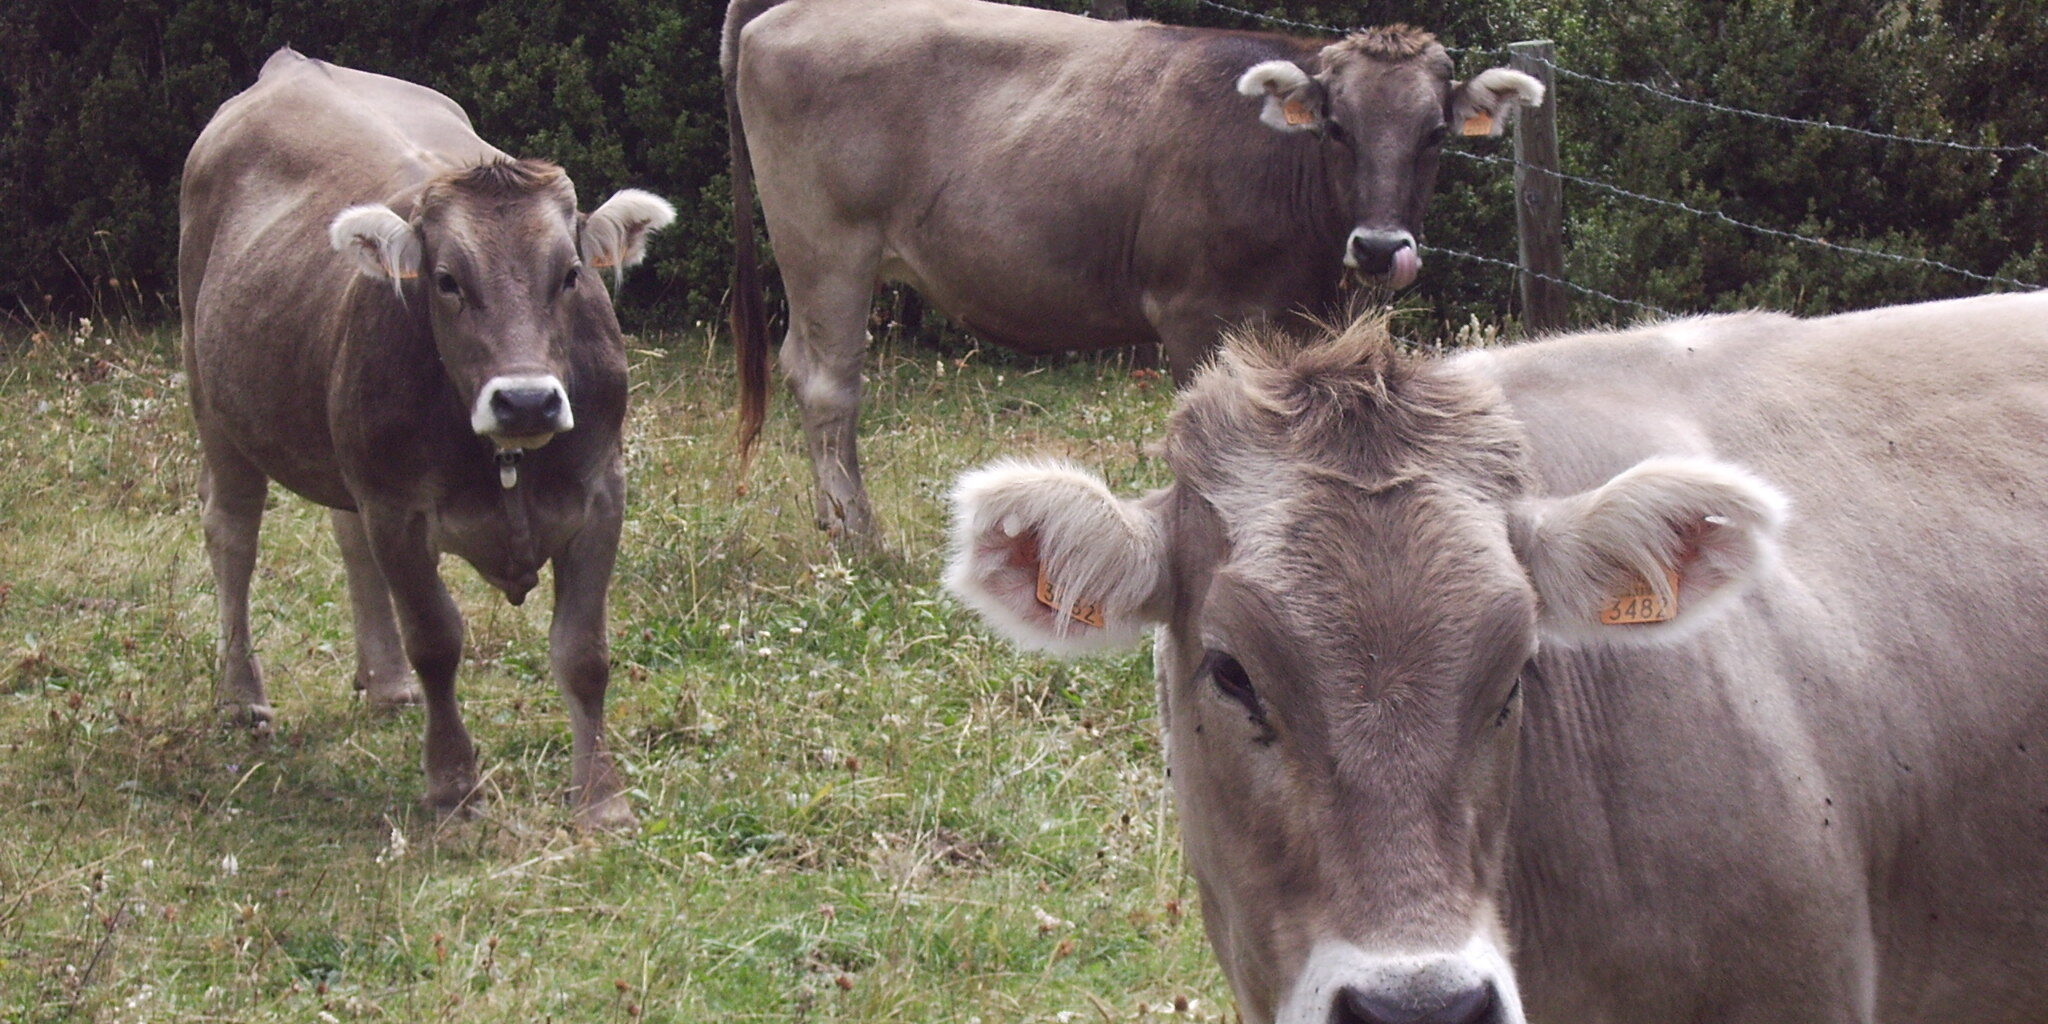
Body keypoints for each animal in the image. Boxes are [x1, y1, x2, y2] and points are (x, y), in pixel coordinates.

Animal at [179, 48, 674, 829]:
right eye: (446, 280)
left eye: (569, 275)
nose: (526, 399)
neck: (505, 461)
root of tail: (290, 65)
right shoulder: (399, 510)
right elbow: (437, 642)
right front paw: (452, 786)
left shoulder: (602, 494)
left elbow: (584, 653)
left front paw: (601, 799)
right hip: (215, 401)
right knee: (232, 533)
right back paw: (242, 696)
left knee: (346, 537)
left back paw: (384, 680)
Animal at [723, 0, 1543, 541]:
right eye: (1336, 128)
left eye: (1435, 134)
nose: (1377, 247)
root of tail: (789, 9)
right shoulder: (1196, 313)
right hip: (826, 243)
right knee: (828, 383)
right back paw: (858, 535)